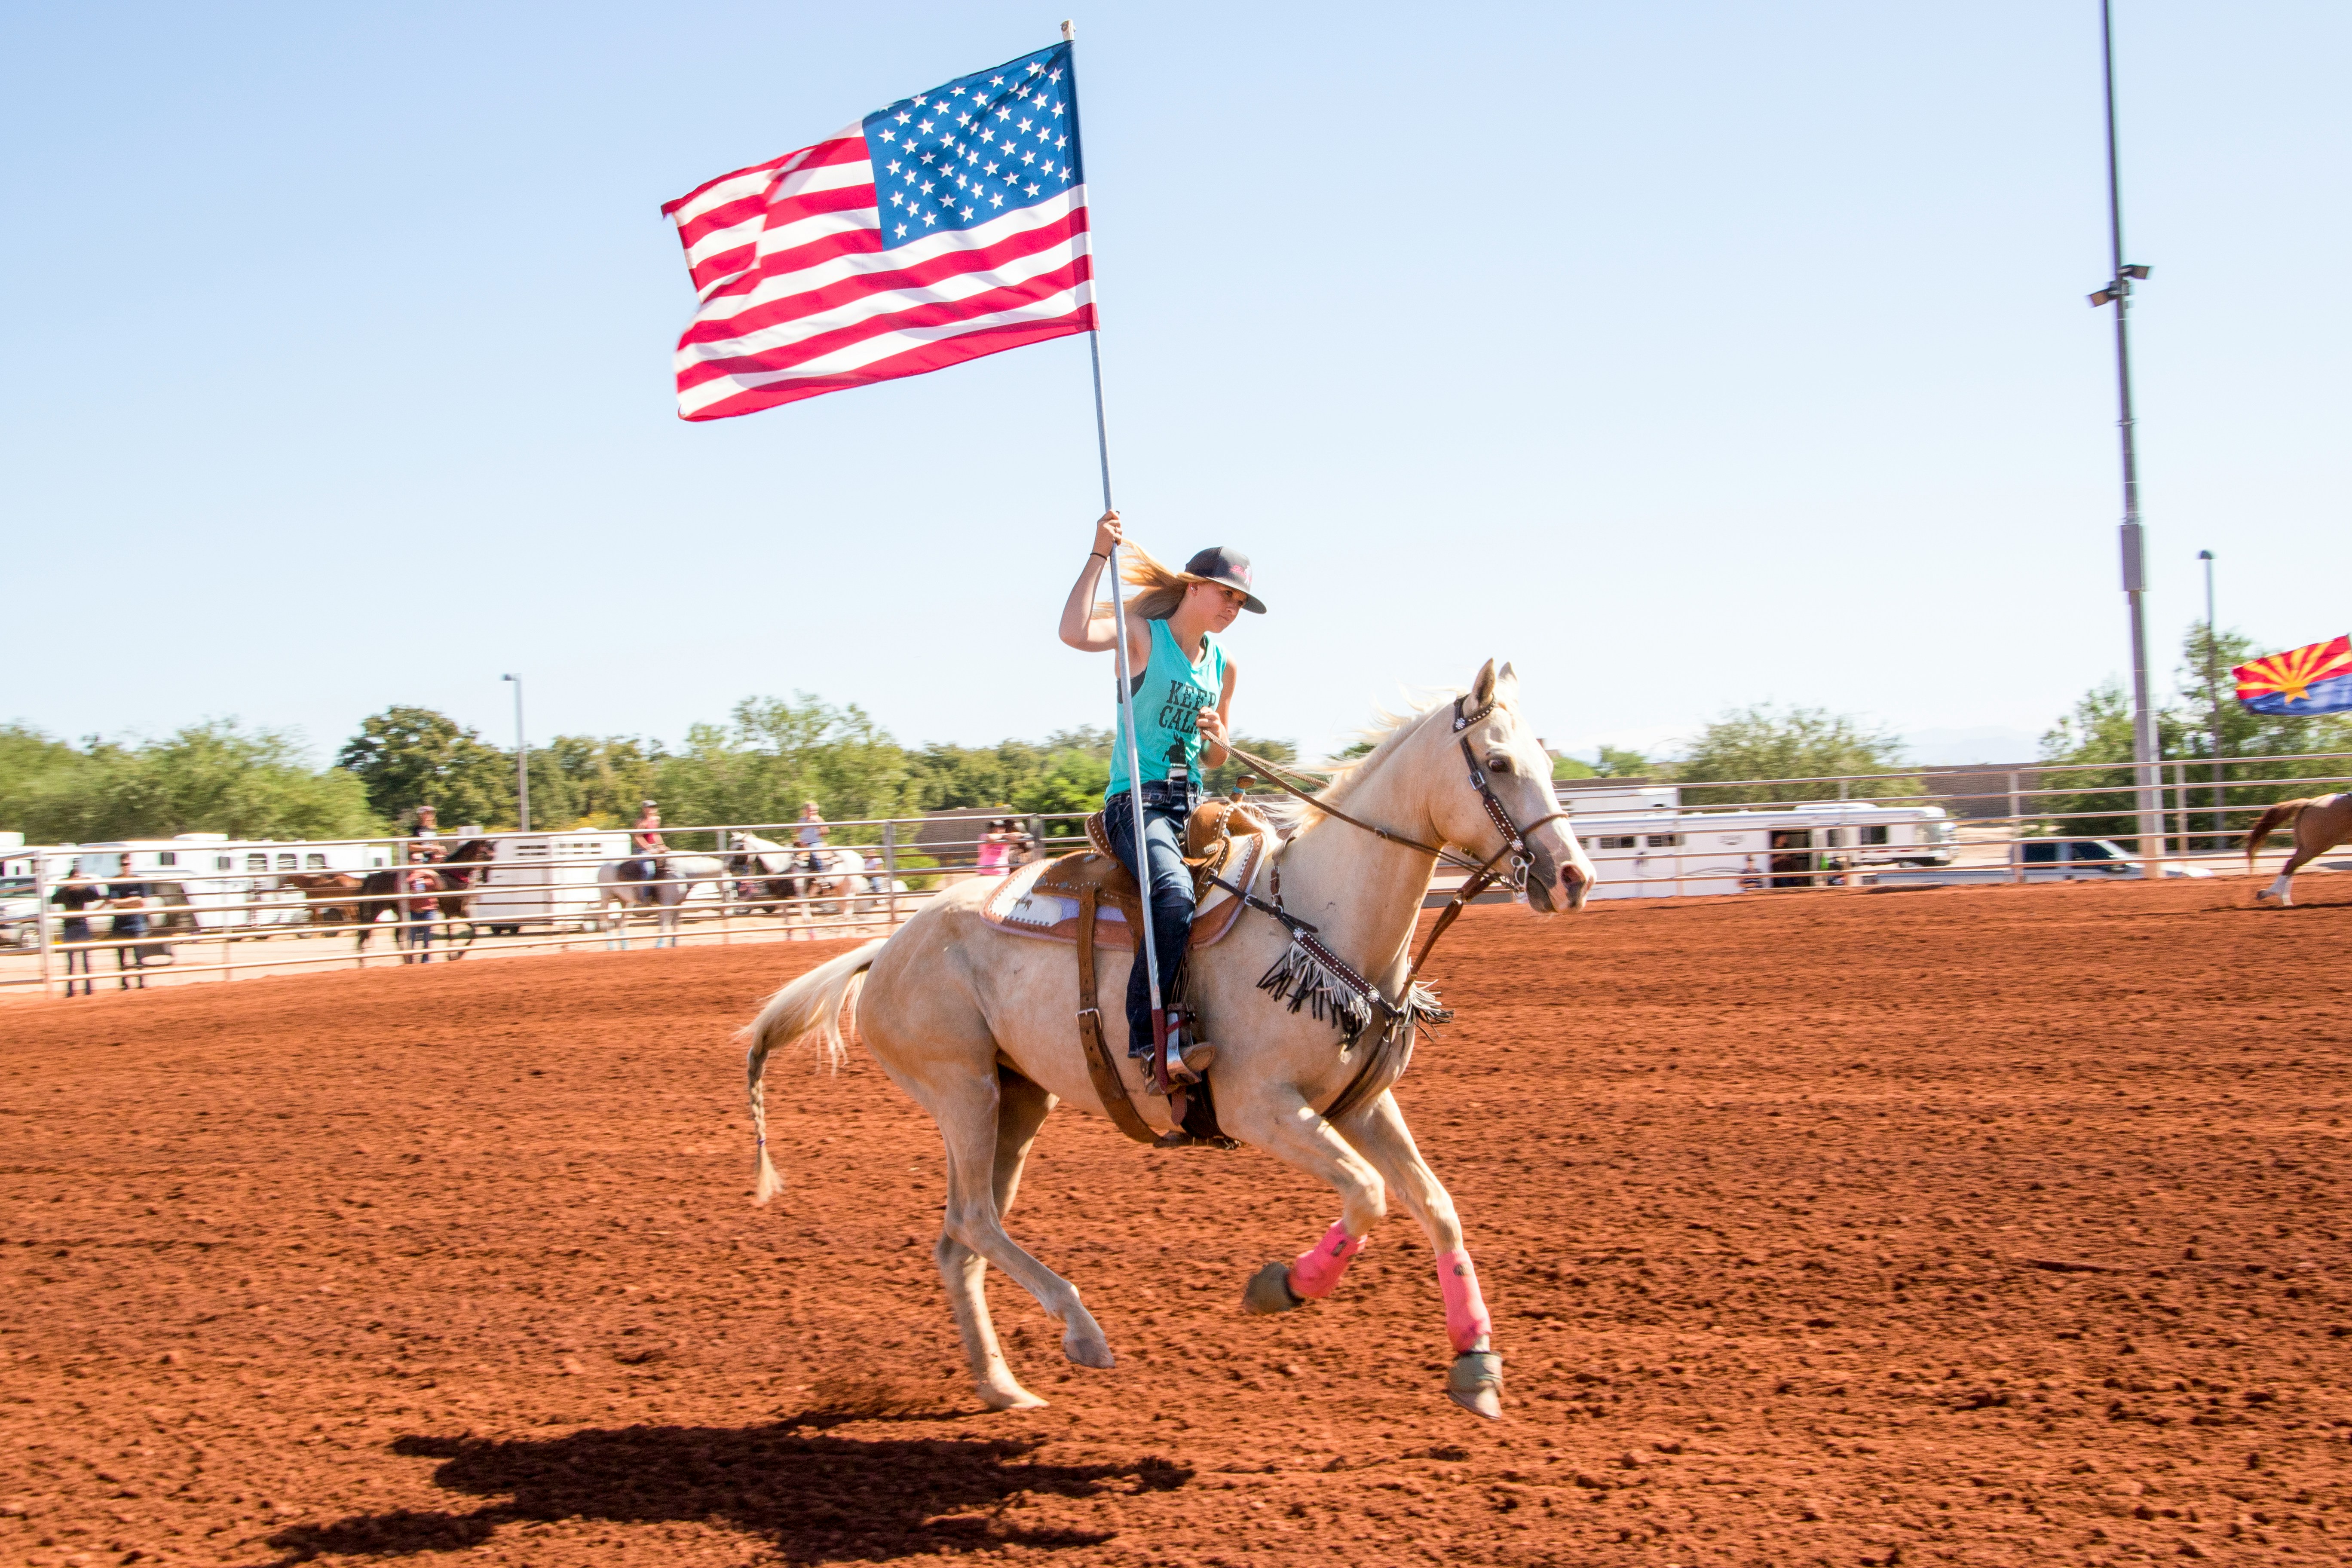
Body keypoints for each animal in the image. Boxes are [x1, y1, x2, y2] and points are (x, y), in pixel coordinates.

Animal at [597, 851, 724, 949]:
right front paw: (659, 946)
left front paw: (673, 945)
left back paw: (626, 948)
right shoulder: (666, 904)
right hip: (606, 898)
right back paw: (611, 947)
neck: (681, 873)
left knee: (621, 923)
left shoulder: (678, 905)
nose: (725, 895)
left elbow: (675, 925)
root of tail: (604, 866)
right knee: (605, 922)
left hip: (625, 902)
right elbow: (664, 926)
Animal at [748, 663, 1599, 1420]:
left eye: (1548, 760)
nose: (1574, 878)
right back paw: (1083, 1331)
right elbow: (1366, 1194)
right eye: (1497, 762)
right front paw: (1281, 1287)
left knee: (961, 1240)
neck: (1315, 912)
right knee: (974, 1223)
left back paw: (1000, 1385)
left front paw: (1475, 1362)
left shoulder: (1360, 1107)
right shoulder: (1261, 1107)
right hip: (964, 1093)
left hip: (1018, 1101)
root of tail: (885, 948)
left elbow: (1437, 1207)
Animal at [2239, 799, 2352, 907]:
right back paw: (2272, 895)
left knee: (2291, 866)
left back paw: (2283, 900)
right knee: (2291, 865)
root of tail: (2310, 803)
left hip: (2305, 847)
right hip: (2314, 847)